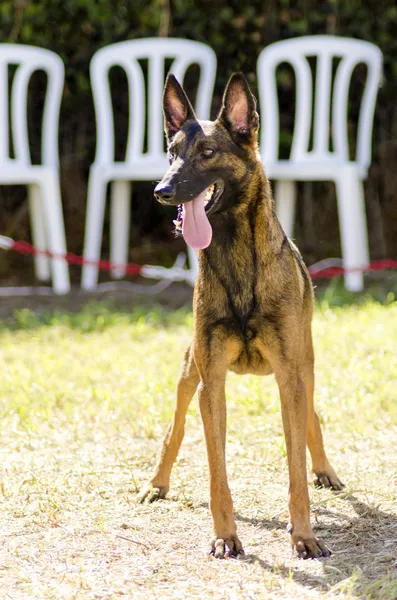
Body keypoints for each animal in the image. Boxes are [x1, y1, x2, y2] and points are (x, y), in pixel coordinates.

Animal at [138, 72, 340, 560]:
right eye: (171, 152)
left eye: (208, 153)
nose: (161, 191)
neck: (235, 259)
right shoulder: (212, 385)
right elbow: (217, 473)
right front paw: (225, 536)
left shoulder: (291, 379)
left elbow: (296, 468)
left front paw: (304, 535)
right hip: (189, 371)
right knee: (174, 428)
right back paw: (157, 483)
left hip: (304, 365)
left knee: (311, 416)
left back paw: (325, 469)